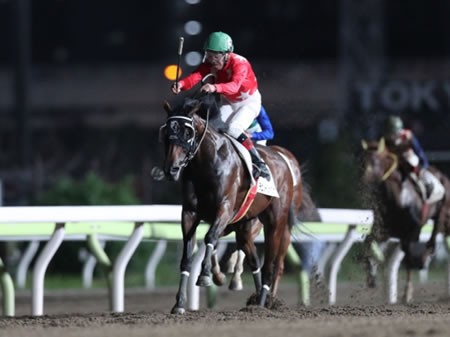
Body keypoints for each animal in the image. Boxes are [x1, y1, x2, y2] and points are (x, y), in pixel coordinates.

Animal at [158, 92, 302, 312]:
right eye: (167, 132)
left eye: (187, 132)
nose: (171, 169)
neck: (208, 163)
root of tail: (283, 160)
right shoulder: (190, 214)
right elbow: (187, 257)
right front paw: (179, 303)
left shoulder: (224, 209)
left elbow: (210, 237)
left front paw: (206, 276)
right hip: (245, 228)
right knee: (254, 260)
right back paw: (257, 300)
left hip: (276, 221)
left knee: (270, 264)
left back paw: (263, 302)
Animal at [360, 136, 450, 302]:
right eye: (361, 160)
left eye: (374, 161)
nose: (363, 179)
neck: (399, 199)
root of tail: (443, 176)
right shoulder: (387, 231)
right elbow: (369, 242)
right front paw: (371, 275)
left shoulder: (411, 232)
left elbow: (408, 258)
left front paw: (407, 293)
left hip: (442, 211)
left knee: (434, 234)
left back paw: (425, 257)